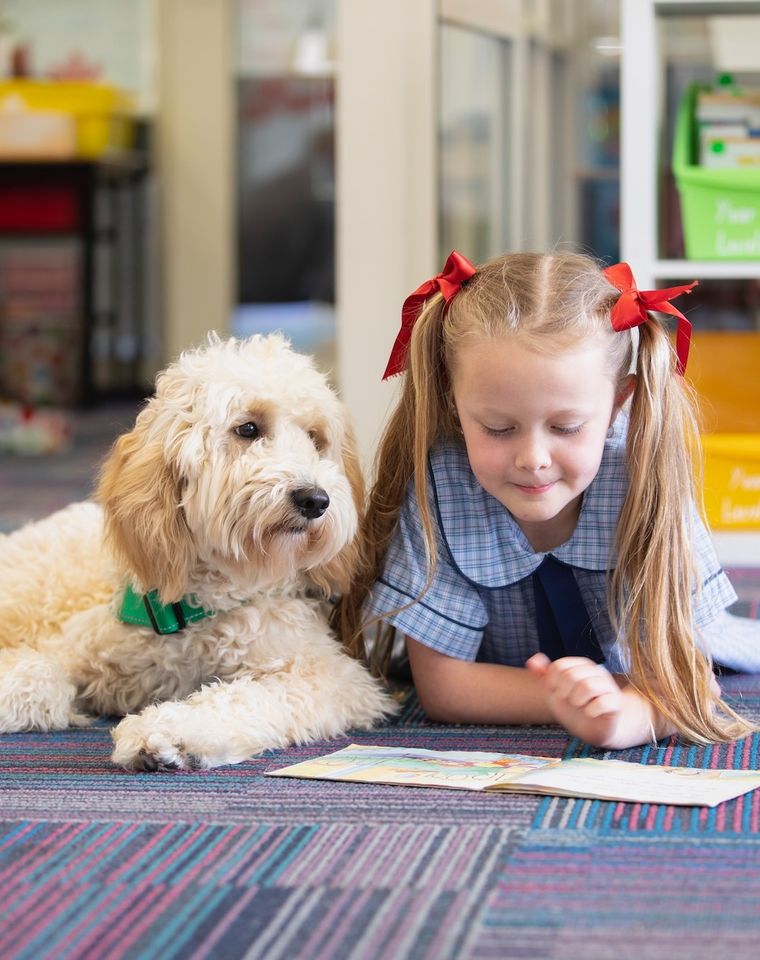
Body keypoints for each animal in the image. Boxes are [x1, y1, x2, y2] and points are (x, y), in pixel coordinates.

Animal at [0, 334, 392, 768]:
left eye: (315, 437)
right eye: (248, 428)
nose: (315, 499)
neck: (205, 605)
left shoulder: (329, 676)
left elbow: (244, 698)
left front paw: (166, 732)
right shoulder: (78, 646)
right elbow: (39, 672)